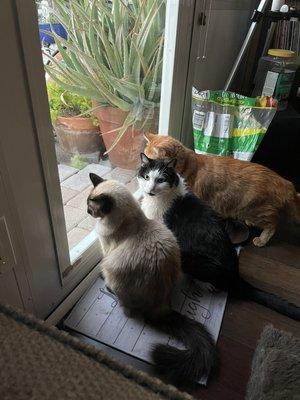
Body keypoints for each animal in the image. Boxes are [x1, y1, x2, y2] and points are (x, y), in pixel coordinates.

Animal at [86, 173, 218, 386]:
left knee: (126, 308)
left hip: (112, 267)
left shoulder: (106, 252)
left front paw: (100, 278)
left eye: (91, 207)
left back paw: (109, 290)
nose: (87, 211)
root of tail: (161, 306)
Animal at [138, 155, 300, 320]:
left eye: (160, 180)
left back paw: (204, 284)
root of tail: (236, 278)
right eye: (146, 177)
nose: (150, 190)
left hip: (191, 258)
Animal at [143, 134, 300, 247]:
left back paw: (261, 240)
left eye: (152, 160)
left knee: (273, 225)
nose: (142, 167)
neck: (187, 166)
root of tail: (286, 183)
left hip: (256, 210)